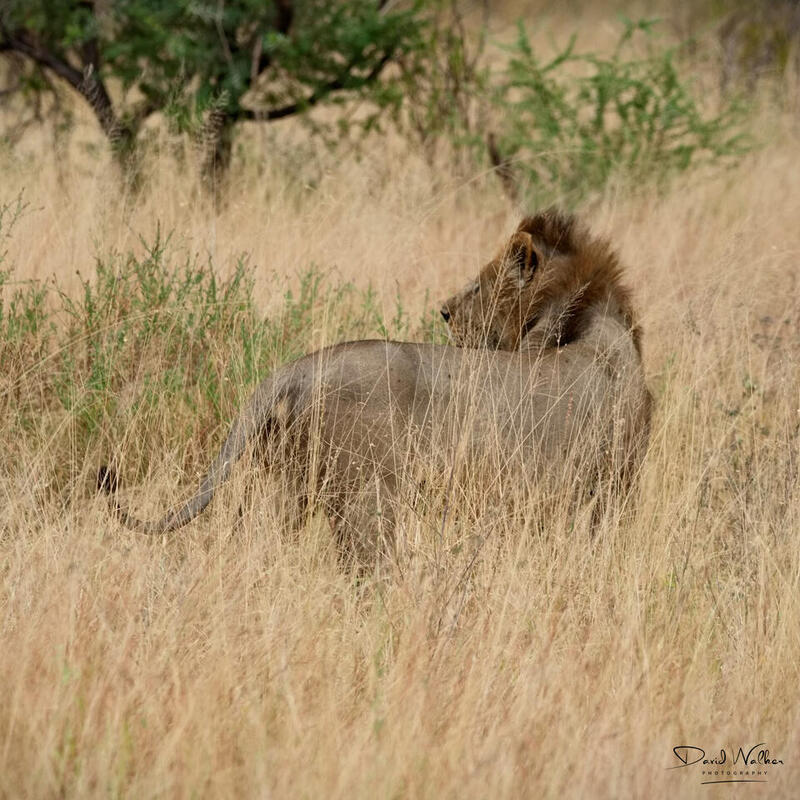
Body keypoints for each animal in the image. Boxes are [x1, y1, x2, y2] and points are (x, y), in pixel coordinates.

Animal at [99, 209, 651, 563]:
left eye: (477, 284)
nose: (444, 310)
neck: (590, 320)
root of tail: (298, 366)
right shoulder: (603, 496)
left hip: (289, 490)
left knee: (256, 549)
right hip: (368, 496)